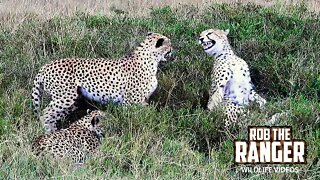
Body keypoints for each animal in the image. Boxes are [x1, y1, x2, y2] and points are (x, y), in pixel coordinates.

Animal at [31, 32, 172, 132]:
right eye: (169, 45)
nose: (173, 50)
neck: (151, 60)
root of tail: (45, 66)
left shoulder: (141, 101)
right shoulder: (131, 102)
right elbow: (133, 118)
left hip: (72, 100)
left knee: (52, 116)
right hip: (65, 97)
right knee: (45, 114)